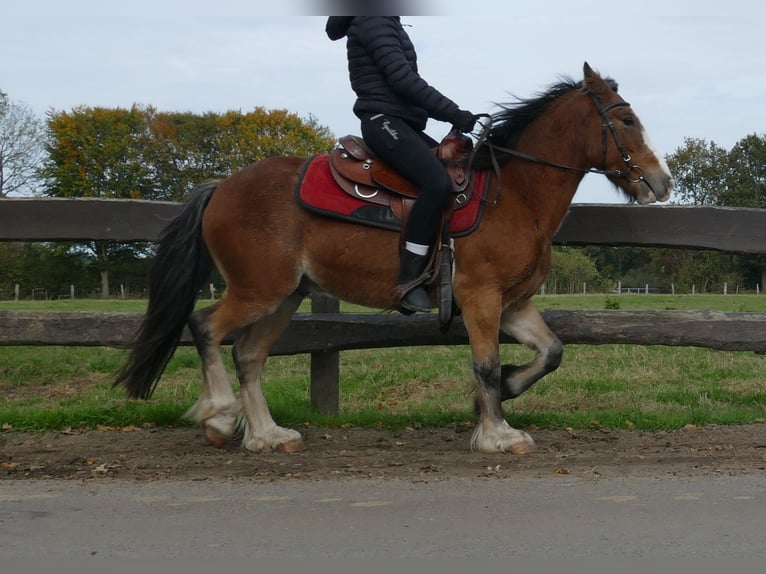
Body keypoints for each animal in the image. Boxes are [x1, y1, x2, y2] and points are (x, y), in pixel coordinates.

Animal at [114, 63, 672, 456]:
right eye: (626, 119)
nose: (660, 182)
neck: (513, 194)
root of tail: (222, 187)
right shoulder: (481, 297)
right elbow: (486, 363)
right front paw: (497, 433)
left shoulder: (514, 304)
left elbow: (551, 352)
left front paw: (501, 396)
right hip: (259, 290)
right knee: (206, 326)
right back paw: (219, 417)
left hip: (285, 296)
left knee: (249, 354)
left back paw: (268, 435)